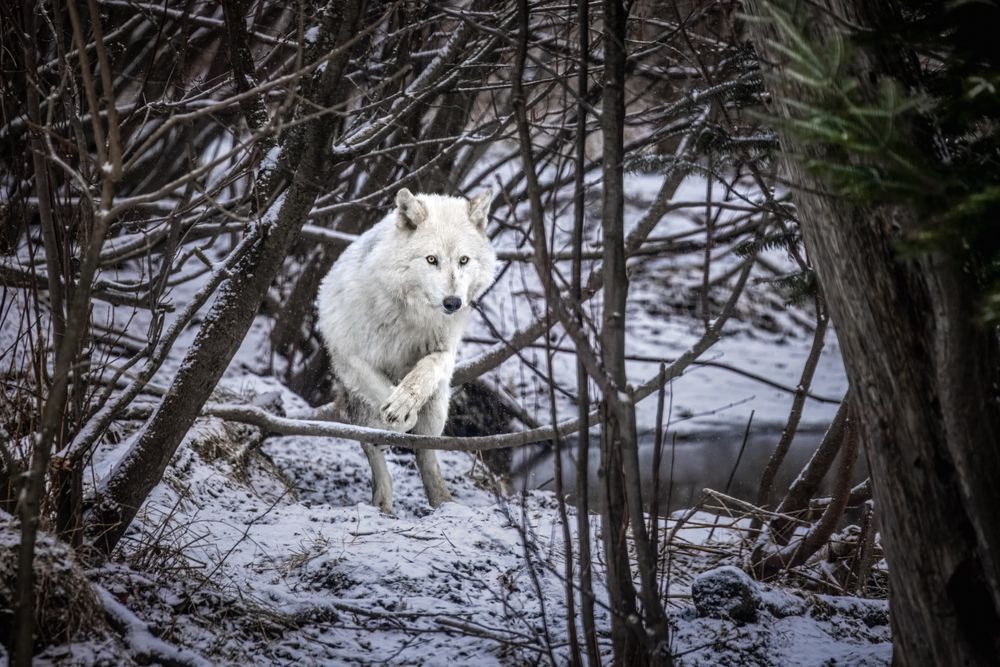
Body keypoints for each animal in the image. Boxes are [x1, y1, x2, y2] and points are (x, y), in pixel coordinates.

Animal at [315, 188, 497, 514]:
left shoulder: (445, 350)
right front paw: (397, 415)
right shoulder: (353, 358)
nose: (453, 303)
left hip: (438, 407)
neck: (413, 315)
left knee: (427, 453)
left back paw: (442, 502)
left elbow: (426, 370)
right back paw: (382, 500)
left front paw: (405, 402)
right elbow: (393, 409)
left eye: (463, 260)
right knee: (371, 447)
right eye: (431, 260)